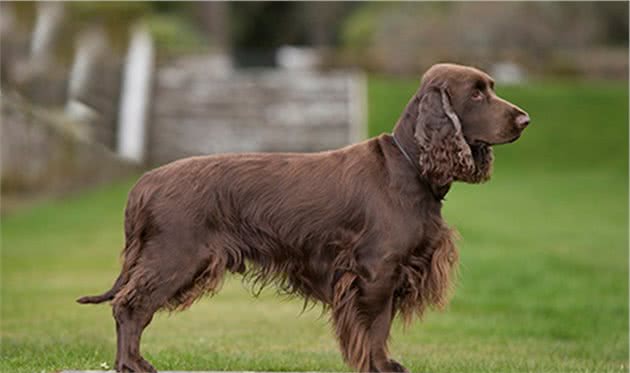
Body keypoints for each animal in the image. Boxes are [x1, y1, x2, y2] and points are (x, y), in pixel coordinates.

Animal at [80, 62, 532, 370]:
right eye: (476, 94)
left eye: (490, 88)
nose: (525, 119)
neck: (411, 167)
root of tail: (145, 182)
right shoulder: (375, 271)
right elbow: (374, 329)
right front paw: (379, 366)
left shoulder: (388, 272)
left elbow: (380, 328)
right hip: (175, 256)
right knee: (130, 306)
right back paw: (132, 365)